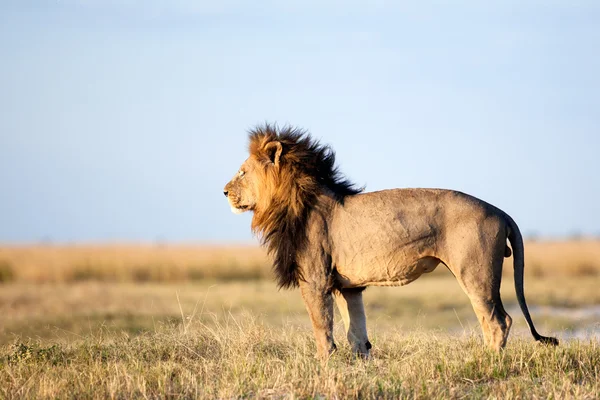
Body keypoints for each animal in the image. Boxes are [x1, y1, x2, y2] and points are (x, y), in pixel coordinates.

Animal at [224, 124, 556, 360]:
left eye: (242, 172)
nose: (224, 191)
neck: (293, 199)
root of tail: (500, 211)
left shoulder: (316, 279)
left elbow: (322, 328)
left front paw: (323, 365)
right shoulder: (347, 286)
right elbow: (356, 333)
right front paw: (360, 365)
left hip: (475, 273)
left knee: (499, 321)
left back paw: (486, 362)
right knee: (493, 320)